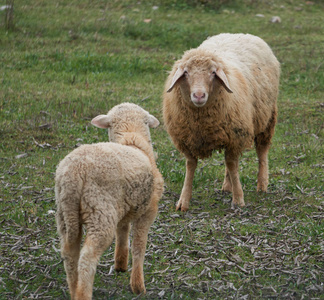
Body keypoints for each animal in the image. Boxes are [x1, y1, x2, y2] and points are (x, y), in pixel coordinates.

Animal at [54, 102, 165, 298]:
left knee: (69, 253)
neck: (132, 139)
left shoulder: (126, 207)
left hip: (66, 213)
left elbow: (123, 232)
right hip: (100, 211)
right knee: (87, 257)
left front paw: (120, 264)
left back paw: (74, 289)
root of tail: (74, 173)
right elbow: (139, 246)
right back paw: (83, 294)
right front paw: (138, 286)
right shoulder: (148, 210)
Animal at [163, 32, 280, 211]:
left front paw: (238, 199)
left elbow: (232, 165)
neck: (200, 122)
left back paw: (262, 184)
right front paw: (183, 201)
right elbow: (191, 166)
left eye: (213, 73)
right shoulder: (188, 140)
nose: (198, 95)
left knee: (262, 151)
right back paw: (227, 186)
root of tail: (240, 33)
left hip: (267, 118)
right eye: (186, 73)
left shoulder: (236, 136)